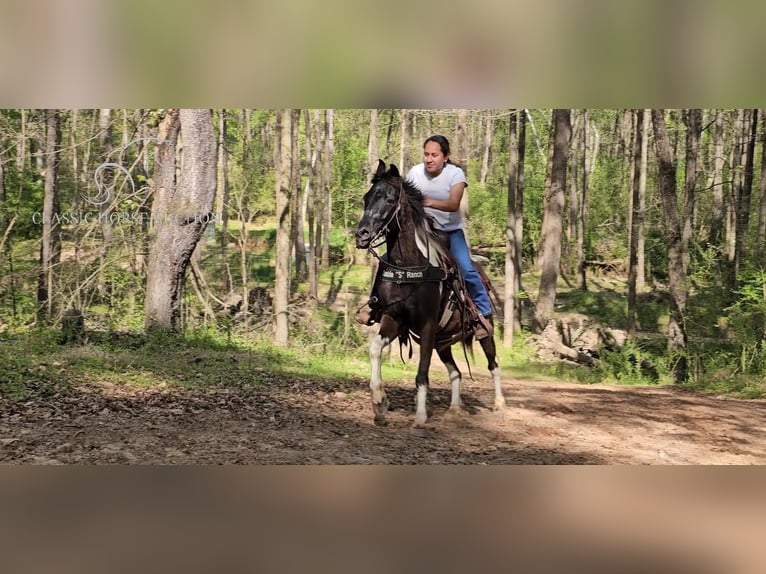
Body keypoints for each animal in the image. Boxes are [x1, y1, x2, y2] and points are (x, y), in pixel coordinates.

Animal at [356, 160, 510, 430]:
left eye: (389, 199)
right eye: (367, 198)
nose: (361, 234)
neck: (409, 268)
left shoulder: (427, 324)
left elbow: (422, 373)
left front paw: (420, 417)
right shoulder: (394, 319)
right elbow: (375, 348)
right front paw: (379, 402)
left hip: (484, 331)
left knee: (494, 364)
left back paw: (499, 404)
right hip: (443, 341)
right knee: (456, 372)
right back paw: (454, 409)